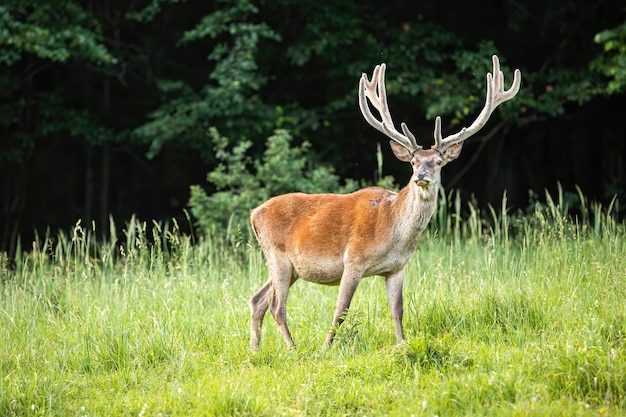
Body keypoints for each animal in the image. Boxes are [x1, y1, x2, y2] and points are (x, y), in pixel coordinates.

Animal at [247, 54, 516, 348]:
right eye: (413, 162)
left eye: (438, 162)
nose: (421, 176)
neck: (393, 232)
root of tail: (254, 214)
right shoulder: (353, 259)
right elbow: (341, 310)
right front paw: (325, 348)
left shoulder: (397, 268)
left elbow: (397, 310)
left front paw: (402, 346)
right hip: (278, 255)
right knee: (276, 306)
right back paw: (293, 349)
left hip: (288, 266)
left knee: (258, 299)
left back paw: (255, 350)